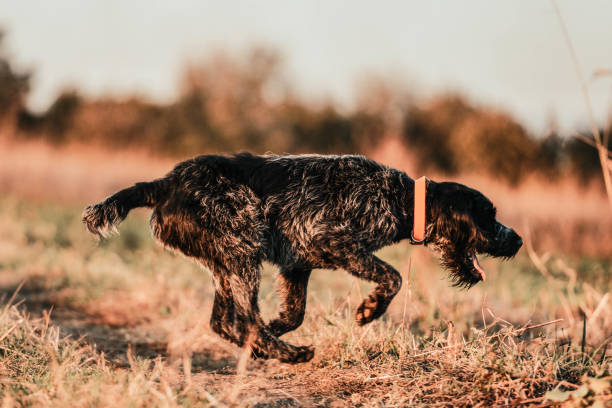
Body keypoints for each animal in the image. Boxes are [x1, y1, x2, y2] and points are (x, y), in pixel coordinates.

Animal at [81, 153, 520, 364]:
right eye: (489, 216)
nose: (515, 240)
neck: (399, 198)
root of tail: (166, 183)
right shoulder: (333, 240)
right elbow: (393, 277)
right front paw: (370, 309)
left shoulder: (297, 265)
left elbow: (293, 314)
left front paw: (278, 328)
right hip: (243, 244)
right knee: (242, 319)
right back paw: (288, 354)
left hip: (227, 259)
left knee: (224, 321)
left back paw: (266, 346)